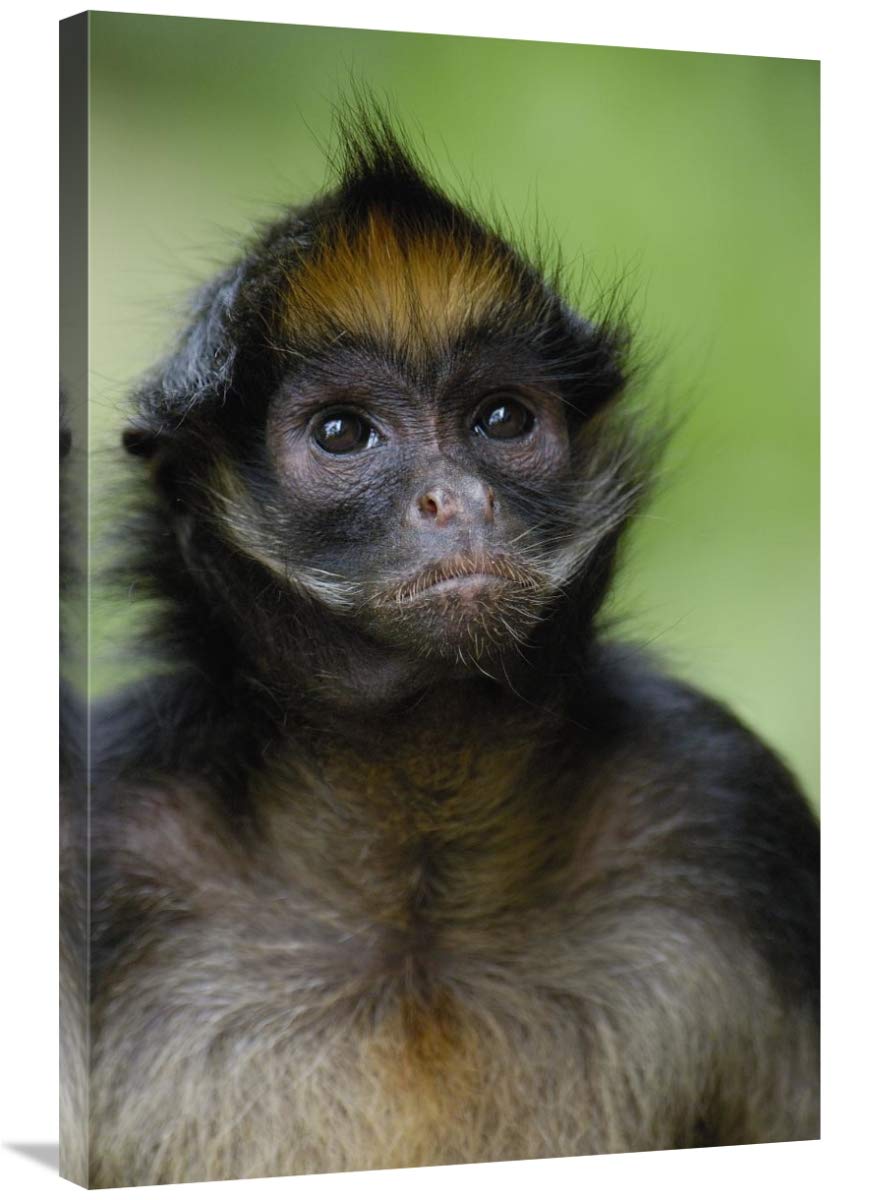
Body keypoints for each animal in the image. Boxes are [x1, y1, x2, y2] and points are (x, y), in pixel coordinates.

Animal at [82, 108, 819, 1188]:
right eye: (342, 434)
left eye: (501, 419)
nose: (457, 499)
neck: (412, 907)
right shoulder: (100, 835)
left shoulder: (722, 802)